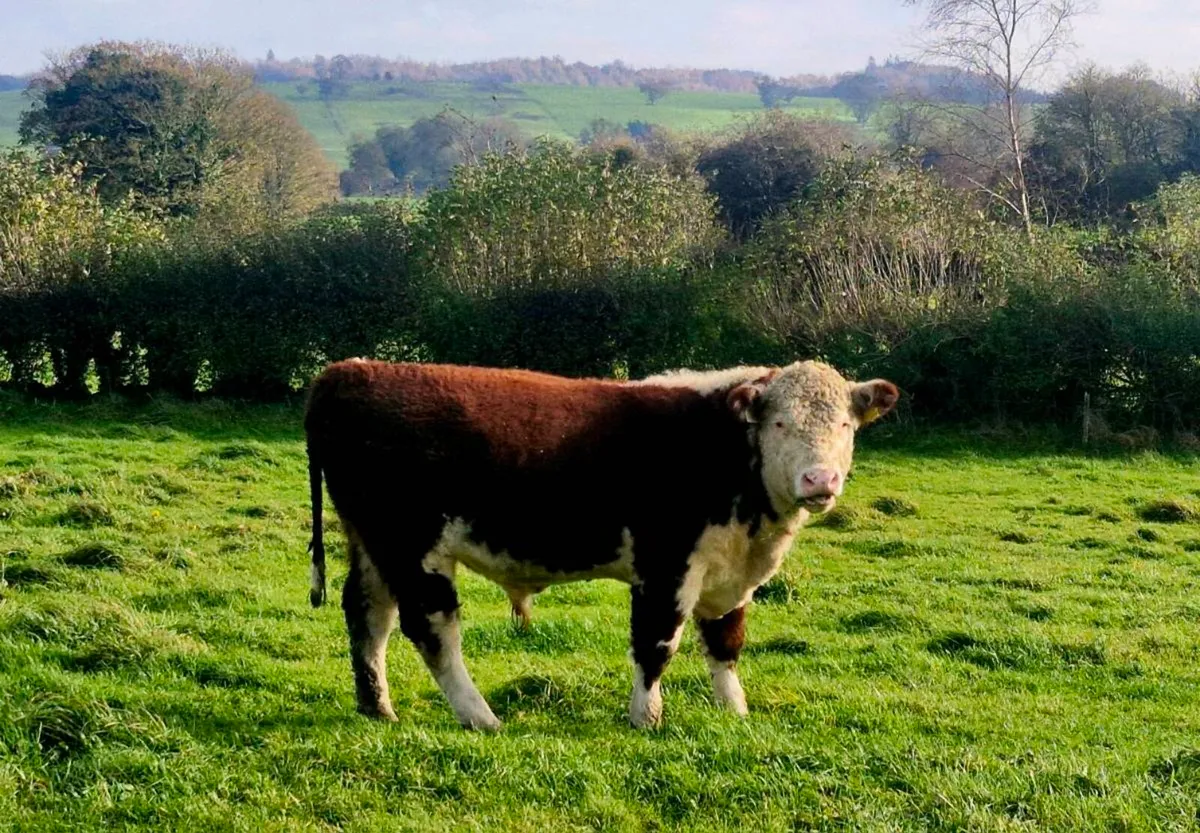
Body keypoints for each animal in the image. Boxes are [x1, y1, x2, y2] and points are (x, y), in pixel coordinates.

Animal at [304, 359, 898, 730]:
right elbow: (657, 644)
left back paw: (377, 707)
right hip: (413, 546)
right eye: (778, 423)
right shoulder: (665, 565)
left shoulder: (729, 574)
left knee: (368, 617)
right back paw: (480, 716)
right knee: (432, 629)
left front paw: (735, 710)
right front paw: (646, 717)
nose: (820, 480)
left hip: (373, 542)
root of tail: (350, 370)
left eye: (846, 425)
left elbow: (726, 642)